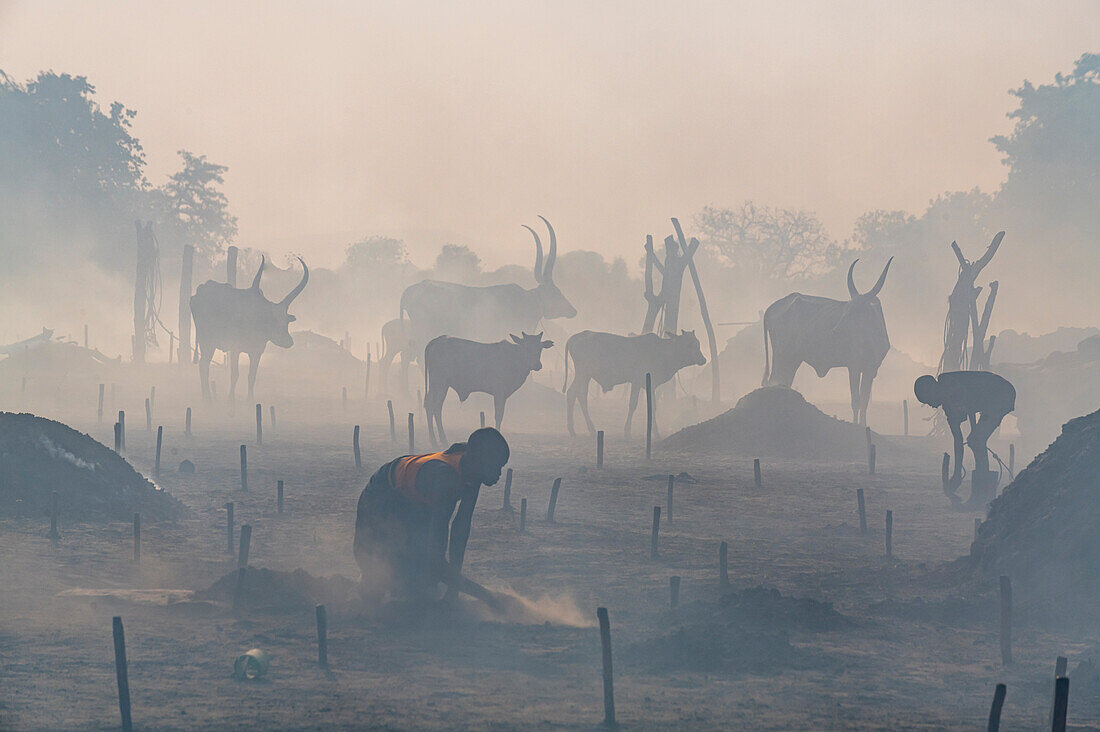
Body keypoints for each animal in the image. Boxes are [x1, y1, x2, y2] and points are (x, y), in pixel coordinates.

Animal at [189, 250, 310, 400]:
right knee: (203, 365)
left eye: (286, 320)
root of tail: (196, 294)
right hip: (207, 342)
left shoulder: (257, 352)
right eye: (272, 320)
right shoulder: (235, 348)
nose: (288, 341)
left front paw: (250, 400)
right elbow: (235, 374)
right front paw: (231, 401)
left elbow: (252, 376)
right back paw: (207, 398)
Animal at [424, 332, 554, 444]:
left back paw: (435, 440)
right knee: (434, 406)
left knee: (431, 405)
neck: (514, 358)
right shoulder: (499, 393)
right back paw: (439, 440)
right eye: (527, 347)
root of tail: (436, 340)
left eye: (540, 348)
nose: (537, 365)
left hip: (437, 385)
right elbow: (498, 416)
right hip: (440, 383)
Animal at [563, 330, 708, 433]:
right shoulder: (637, 381)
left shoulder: (650, 385)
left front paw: (654, 430)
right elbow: (633, 404)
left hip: (583, 376)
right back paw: (590, 428)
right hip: (583, 374)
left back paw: (572, 429)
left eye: (698, 343)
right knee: (580, 395)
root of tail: (576, 337)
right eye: (689, 344)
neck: (662, 352)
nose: (703, 359)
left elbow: (653, 406)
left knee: (572, 394)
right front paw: (629, 431)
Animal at [765, 256, 893, 424]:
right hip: (783, 356)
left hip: (792, 359)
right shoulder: (854, 367)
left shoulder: (871, 369)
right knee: (774, 381)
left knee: (783, 382)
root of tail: (772, 307)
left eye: (857, 311)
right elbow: (856, 401)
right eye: (846, 309)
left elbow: (865, 401)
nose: (835, 330)